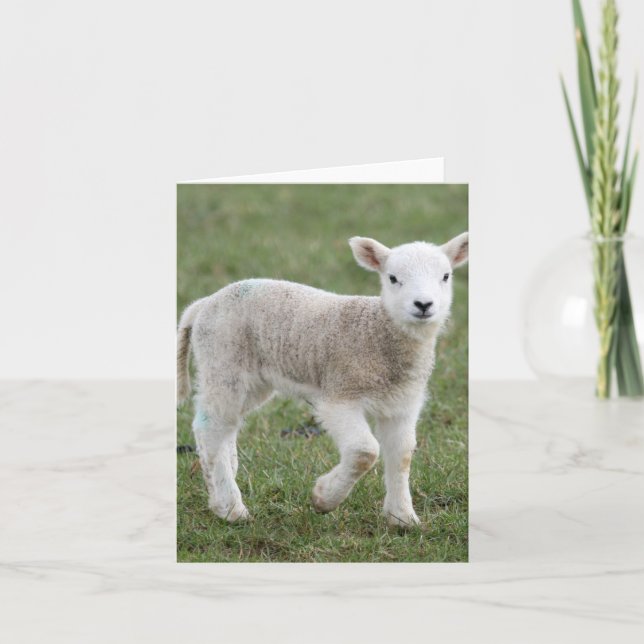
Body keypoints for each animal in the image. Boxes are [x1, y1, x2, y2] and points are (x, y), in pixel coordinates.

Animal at [177, 232, 468, 527]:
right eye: (393, 278)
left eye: (446, 276)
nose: (423, 305)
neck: (378, 333)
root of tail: (203, 304)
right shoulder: (339, 395)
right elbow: (364, 451)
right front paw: (324, 498)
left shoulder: (402, 403)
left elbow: (402, 455)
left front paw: (402, 518)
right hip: (223, 361)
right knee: (210, 425)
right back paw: (230, 507)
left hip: (249, 380)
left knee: (226, 424)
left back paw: (222, 484)